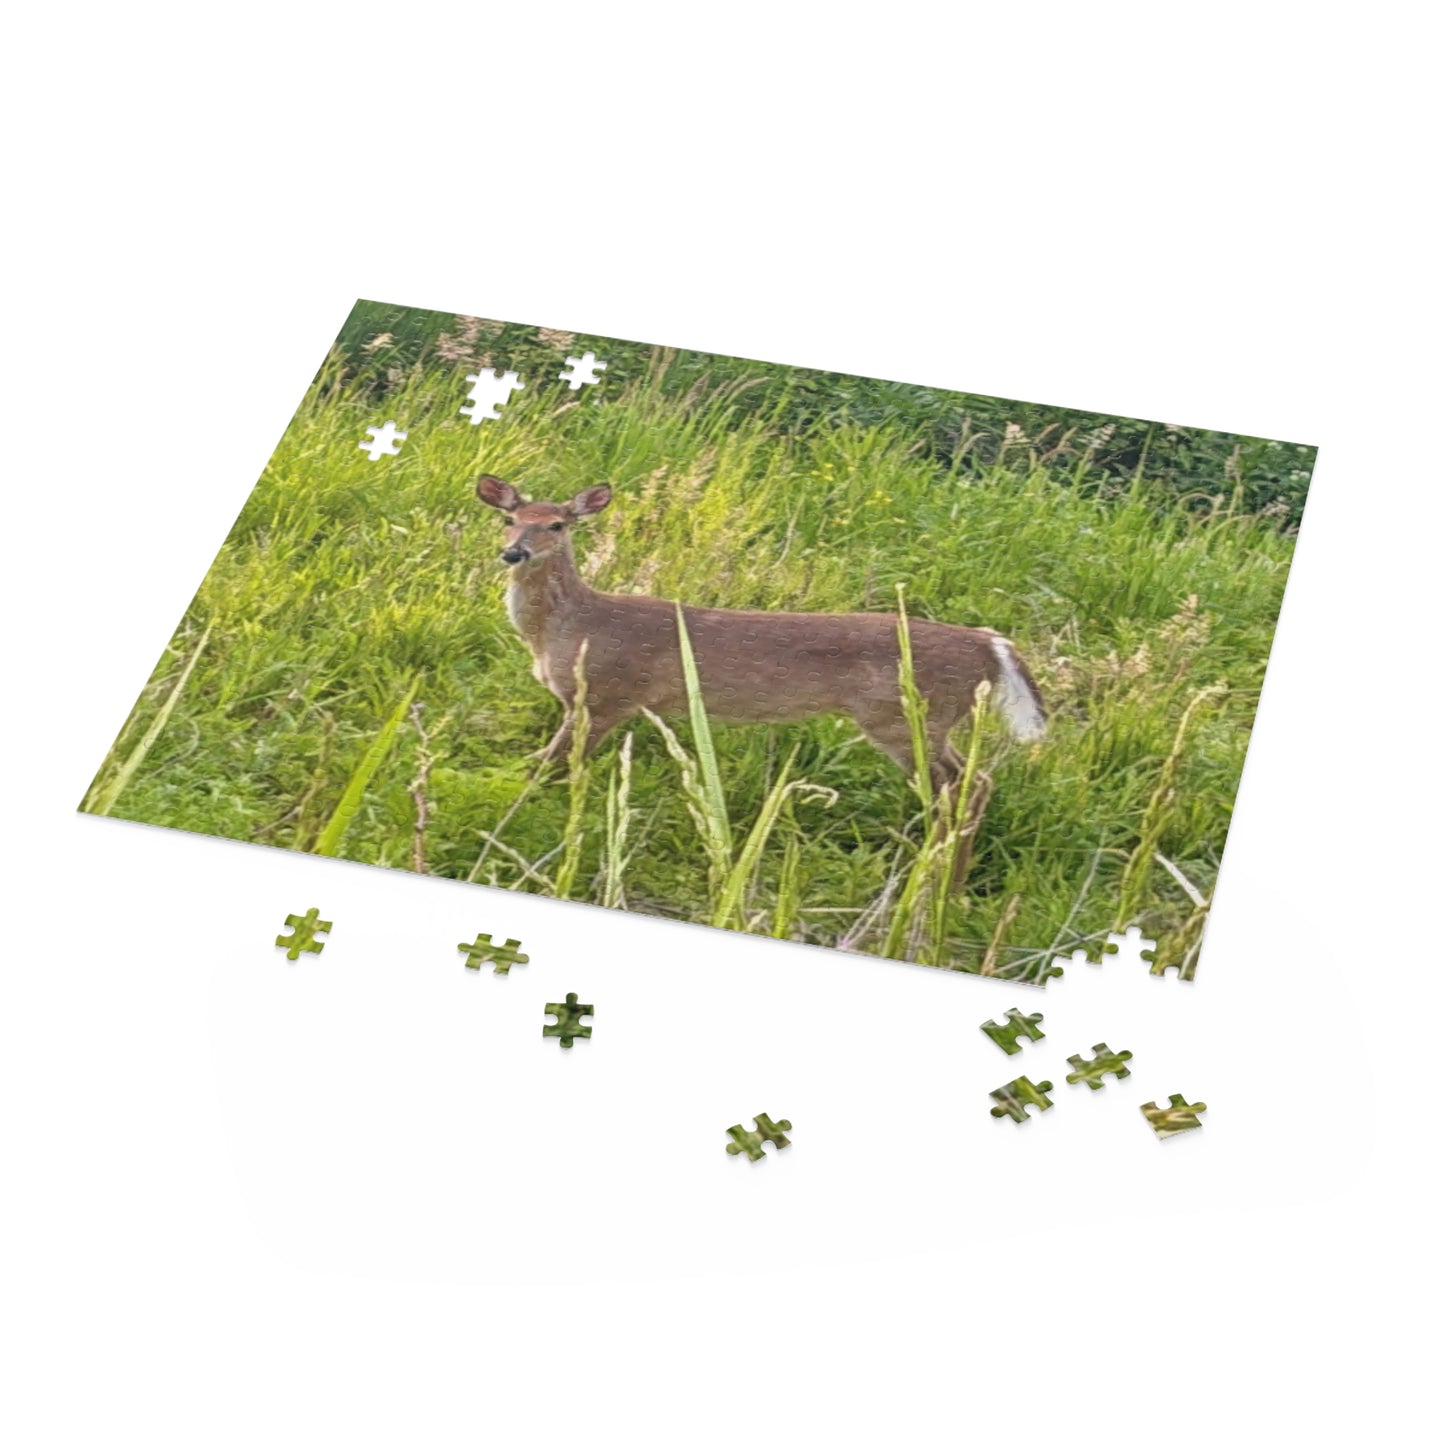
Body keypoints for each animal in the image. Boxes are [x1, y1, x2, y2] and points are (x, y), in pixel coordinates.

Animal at [475, 475, 1046, 792]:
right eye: (509, 518)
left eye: (557, 525)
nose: (513, 553)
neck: (568, 628)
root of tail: (990, 644)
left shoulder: (605, 695)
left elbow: (551, 766)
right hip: (927, 720)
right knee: (975, 781)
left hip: (908, 716)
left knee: (962, 785)